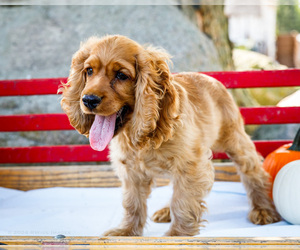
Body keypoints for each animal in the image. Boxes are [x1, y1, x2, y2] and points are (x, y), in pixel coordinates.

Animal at [59, 35, 280, 236]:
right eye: (89, 71)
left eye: (121, 75)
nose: (88, 100)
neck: (139, 132)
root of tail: (211, 78)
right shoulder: (131, 171)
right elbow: (133, 203)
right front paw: (126, 232)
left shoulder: (190, 164)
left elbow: (182, 201)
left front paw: (177, 235)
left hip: (235, 139)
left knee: (253, 173)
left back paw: (263, 210)